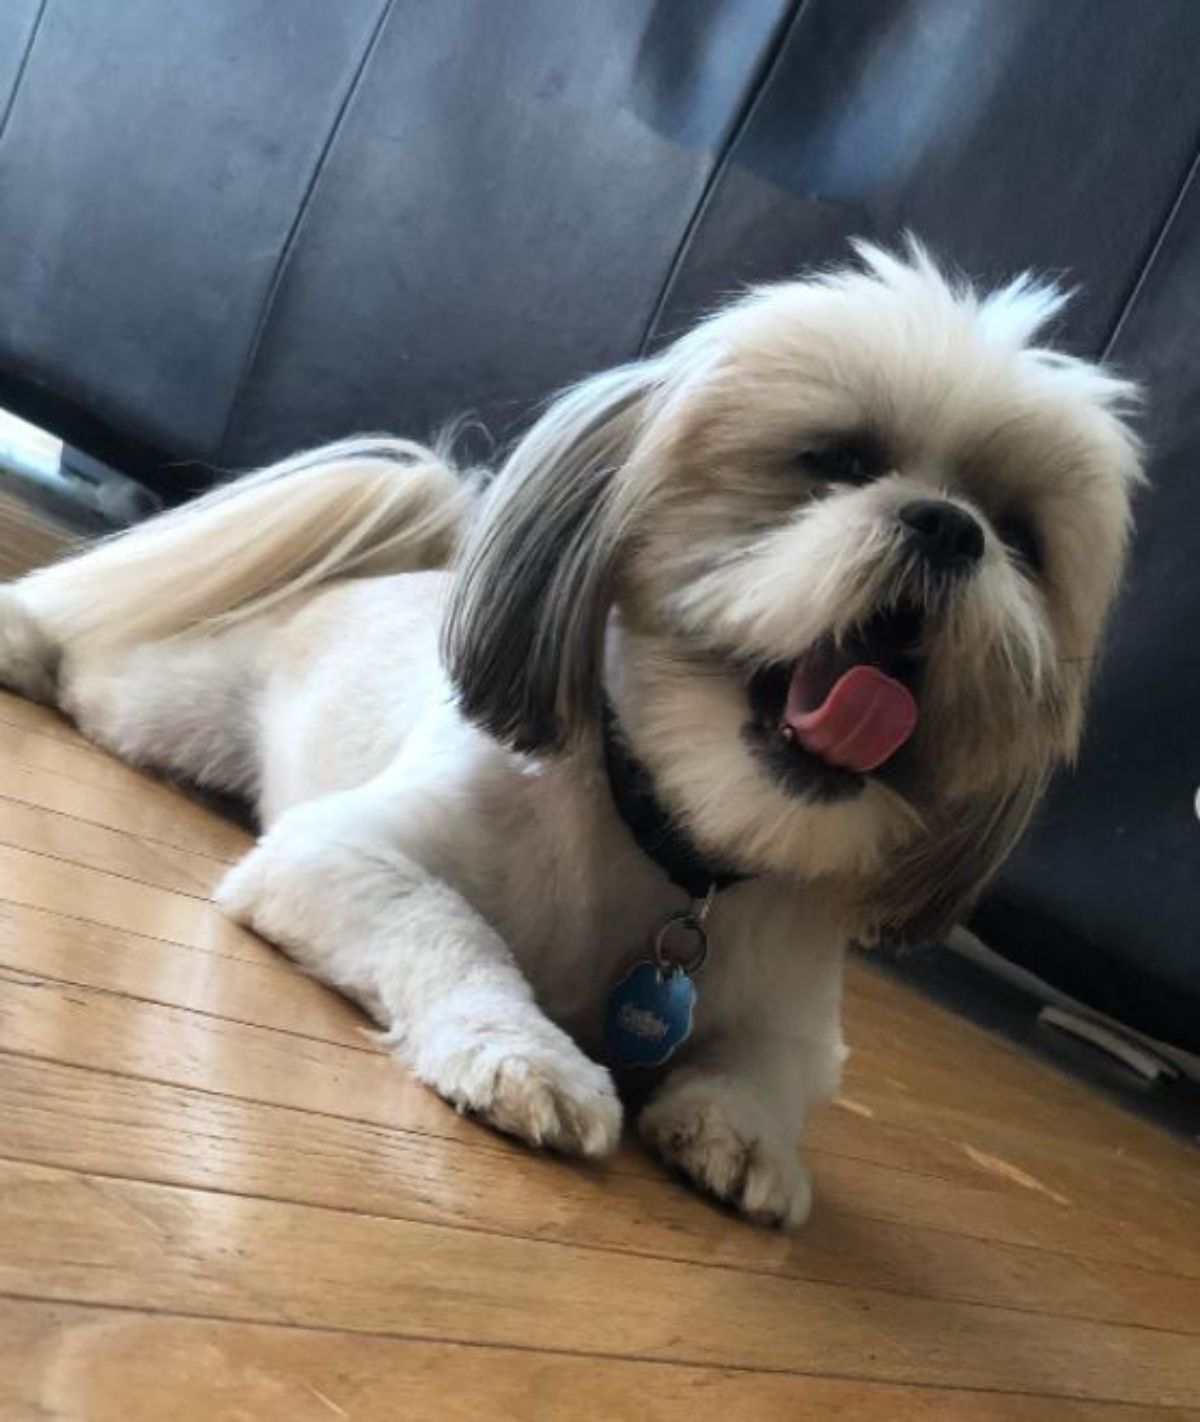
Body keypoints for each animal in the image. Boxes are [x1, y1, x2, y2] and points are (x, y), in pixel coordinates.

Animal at [2, 241, 1143, 1222]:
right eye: (834, 460)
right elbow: (452, 931)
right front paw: (529, 1057)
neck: (670, 843)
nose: (951, 527)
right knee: (101, 667)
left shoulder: (795, 1019)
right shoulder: (338, 857)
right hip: (168, 710)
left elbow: (761, 1076)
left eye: (1020, 537)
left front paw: (744, 1138)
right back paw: (25, 646)